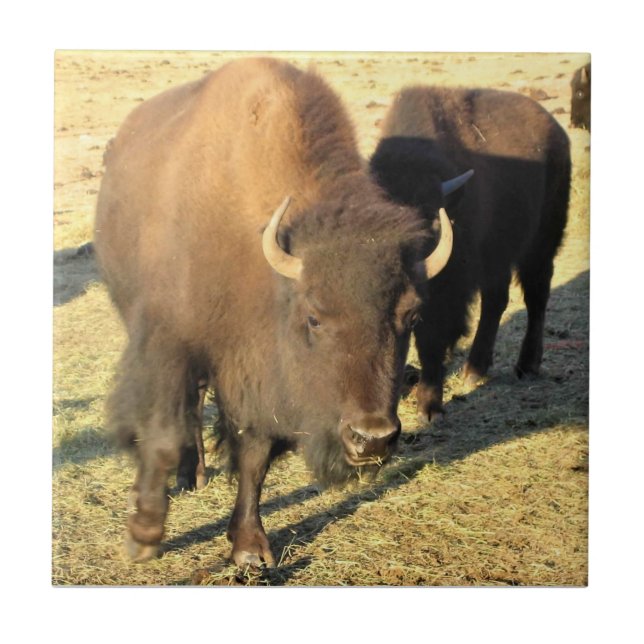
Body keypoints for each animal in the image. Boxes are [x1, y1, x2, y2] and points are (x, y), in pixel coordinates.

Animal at [94, 58, 457, 567]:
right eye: (314, 317)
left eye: (412, 317)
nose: (372, 438)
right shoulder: (169, 344)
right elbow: (161, 434)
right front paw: (143, 535)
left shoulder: (254, 372)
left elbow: (255, 455)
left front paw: (249, 547)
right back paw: (185, 479)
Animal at [370, 86, 571, 422]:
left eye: (431, 218)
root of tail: (557, 132)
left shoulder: (446, 293)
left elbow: (431, 339)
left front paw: (429, 408)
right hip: (498, 257)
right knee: (496, 301)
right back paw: (475, 369)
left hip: (540, 245)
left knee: (536, 298)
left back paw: (526, 365)